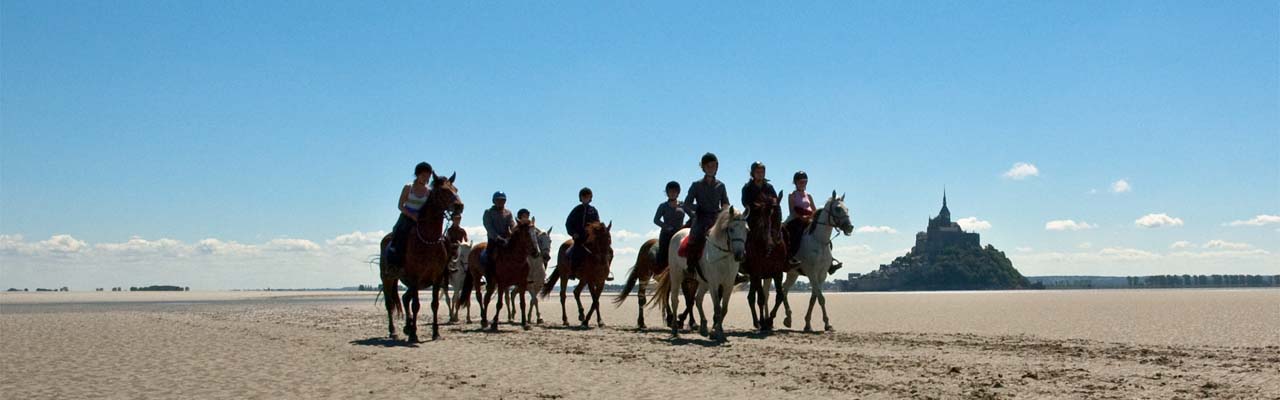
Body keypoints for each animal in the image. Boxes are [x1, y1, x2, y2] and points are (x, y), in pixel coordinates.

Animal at [378, 170, 465, 341]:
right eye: (443, 191)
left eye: (456, 189)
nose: (459, 206)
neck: (428, 239)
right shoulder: (414, 276)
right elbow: (416, 305)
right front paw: (413, 335)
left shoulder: (437, 278)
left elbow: (434, 304)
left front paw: (435, 332)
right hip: (388, 278)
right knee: (390, 303)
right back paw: (394, 331)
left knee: (405, 298)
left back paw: (407, 326)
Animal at [650, 206, 747, 341]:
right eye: (731, 229)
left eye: (746, 230)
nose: (739, 255)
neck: (722, 256)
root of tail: (677, 234)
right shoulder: (714, 284)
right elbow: (717, 308)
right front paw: (719, 333)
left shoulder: (728, 284)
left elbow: (724, 309)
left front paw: (717, 332)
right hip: (677, 276)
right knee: (675, 300)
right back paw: (675, 329)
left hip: (703, 282)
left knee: (698, 299)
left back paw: (703, 327)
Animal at [742, 188, 788, 333]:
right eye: (765, 217)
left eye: (779, 214)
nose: (773, 241)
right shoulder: (757, 272)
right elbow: (761, 299)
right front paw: (764, 322)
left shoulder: (777, 273)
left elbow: (780, 296)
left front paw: (769, 321)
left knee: (750, 297)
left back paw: (757, 322)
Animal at [773, 192, 855, 333]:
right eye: (837, 208)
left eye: (847, 209)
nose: (850, 227)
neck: (819, 241)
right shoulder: (811, 273)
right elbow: (821, 298)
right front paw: (826, 323)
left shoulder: (822, 275)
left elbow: (814, 298)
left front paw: (809, 324)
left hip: (793, 274)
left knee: (784, 290)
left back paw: (787, 318)